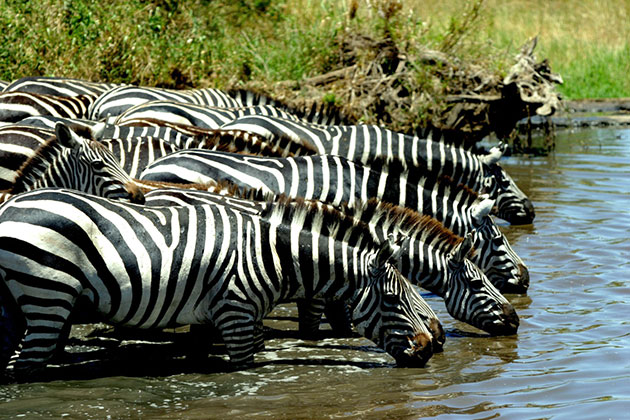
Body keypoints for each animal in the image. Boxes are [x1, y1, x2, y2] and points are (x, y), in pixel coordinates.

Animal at [0, 187, 440, 374]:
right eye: (392, 298)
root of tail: (11, 204)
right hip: (48, 296)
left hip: (15, 306)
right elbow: (244, 366)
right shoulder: (237, 314)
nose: (428, 348)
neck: (272, 256)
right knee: (26, 367)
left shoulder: (207, 317)